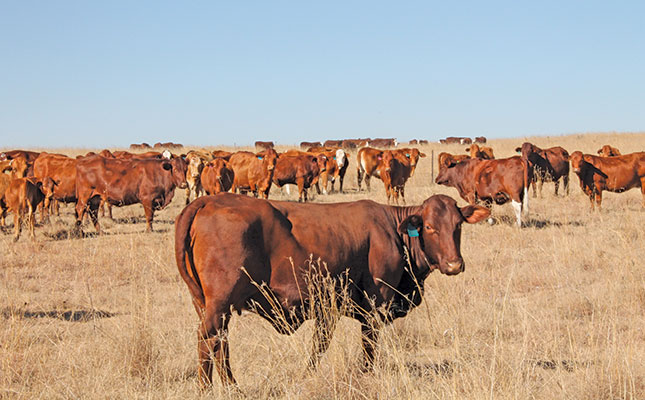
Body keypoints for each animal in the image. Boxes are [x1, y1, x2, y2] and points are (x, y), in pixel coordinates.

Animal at [175, 194, 488, 388]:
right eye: (430, 227)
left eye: (458, 225)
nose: (454, 264)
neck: (393, 232)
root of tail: (209, 200)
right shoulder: (374, 305)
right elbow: (367, 346)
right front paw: (365, 374)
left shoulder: (331, 310)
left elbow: (319, 345)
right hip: (218, 307)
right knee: (208, 341)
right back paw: (208, 389)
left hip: (209, 306)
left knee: (220, 345)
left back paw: (232, 387)